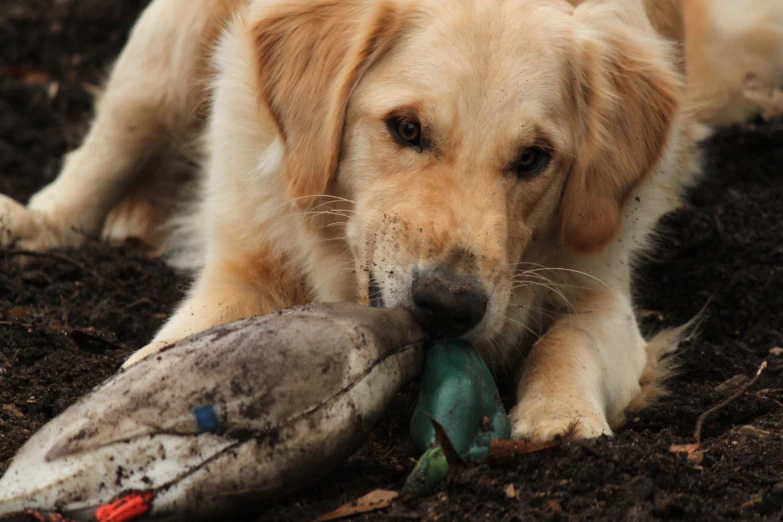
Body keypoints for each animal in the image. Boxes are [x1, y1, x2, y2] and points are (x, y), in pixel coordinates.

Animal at [1, 0, 783, 438]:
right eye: (405, 129)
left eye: (533, 159)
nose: (449, 306)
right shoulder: (246, 259)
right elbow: (196, 330)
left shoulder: (603, 287)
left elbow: (566, 341)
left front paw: (560, 417)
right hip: (166, 49)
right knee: (111, 140)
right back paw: (32, 223)